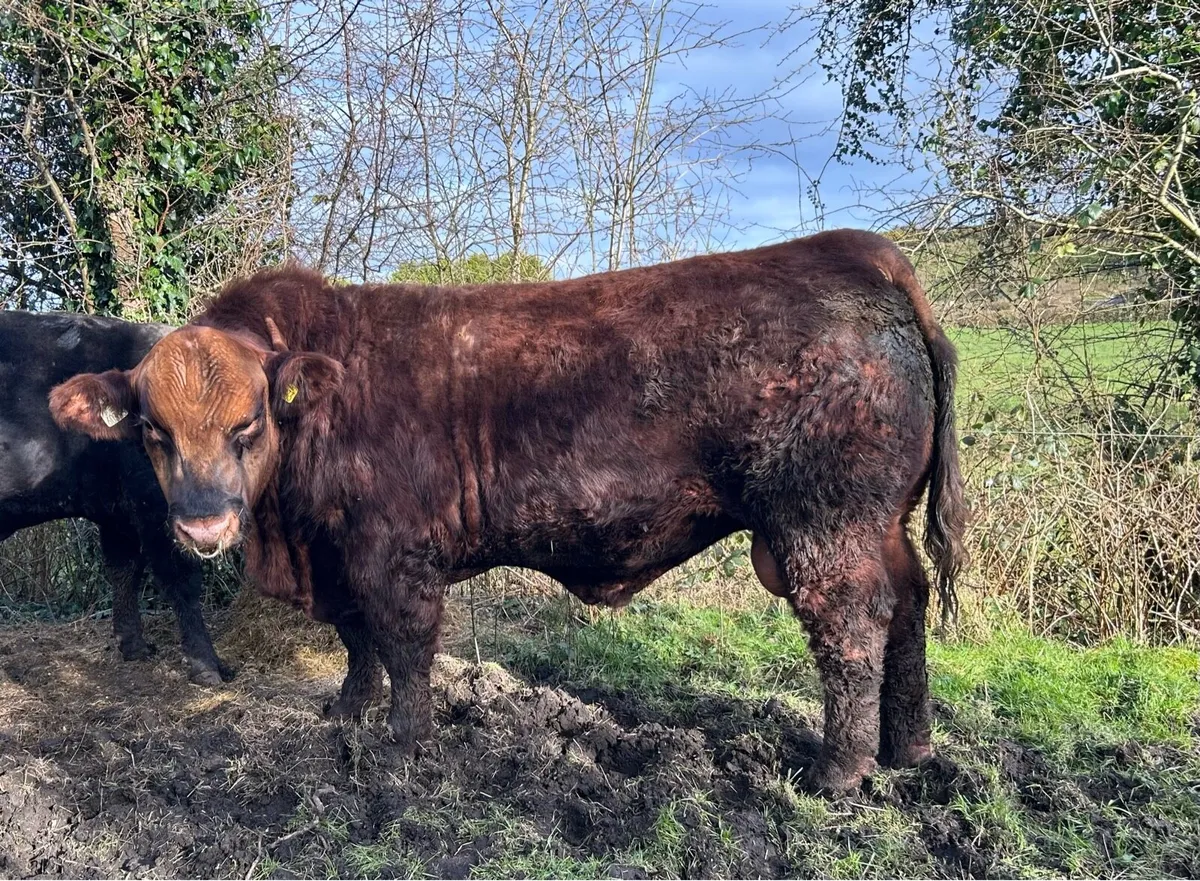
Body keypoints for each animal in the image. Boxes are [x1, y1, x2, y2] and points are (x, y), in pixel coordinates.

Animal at [1, 310, 232, 685]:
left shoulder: (116, 511)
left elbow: (124, 570)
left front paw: (133, 645)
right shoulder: (153, 507)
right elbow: (181, 579)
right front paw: (207, 664)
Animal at [49, 229, 966, 793]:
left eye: (247, 423)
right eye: (153, 430)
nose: (202, 524)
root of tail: (863, 254)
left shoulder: (394, 552)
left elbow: (403, 644)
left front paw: (402, 742)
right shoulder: (341, 554)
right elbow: (356, 639)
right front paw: (347, 710)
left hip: (824, 525)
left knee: (852, 625)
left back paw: (840, 770)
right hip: (876, 524)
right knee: (909, 603)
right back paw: (910, 749)